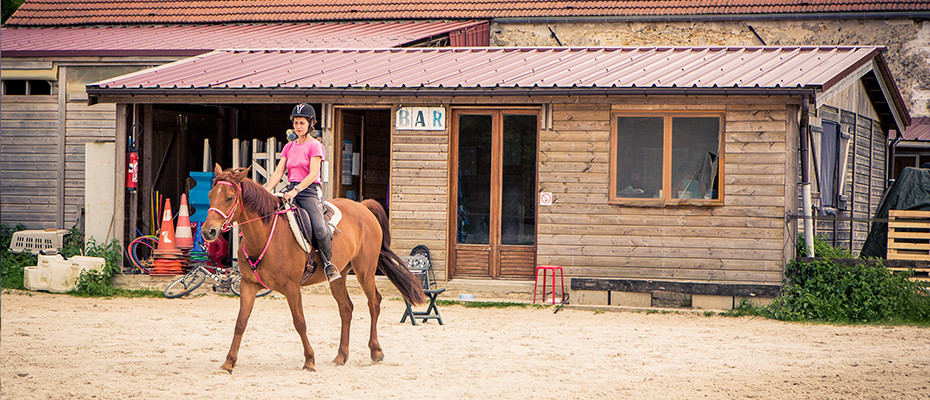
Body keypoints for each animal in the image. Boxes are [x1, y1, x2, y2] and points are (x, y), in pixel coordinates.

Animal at [201, 165, 425, 373]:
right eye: (210, 195)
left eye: (230, 197)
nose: (208, 231)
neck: (265, 237)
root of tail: (363, 207)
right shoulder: (248, 285)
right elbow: (240, 323)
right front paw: (228, 363)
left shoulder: (292, 287)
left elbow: (299, 322)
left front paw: (309, 360)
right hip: (339, 275)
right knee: (346, 308)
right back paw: (341, 356)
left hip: (365, 271)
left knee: (374, 303)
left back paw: (376, 351)